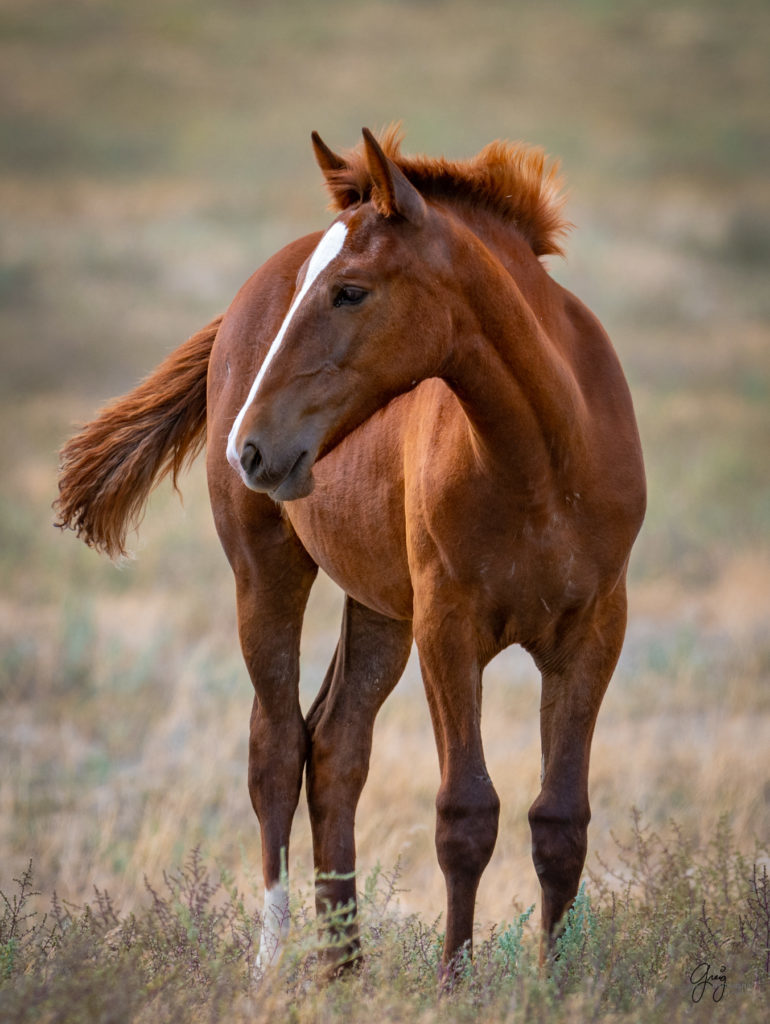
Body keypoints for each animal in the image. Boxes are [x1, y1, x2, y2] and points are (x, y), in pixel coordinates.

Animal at [55, 123, 643, 978]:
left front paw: (555, 985)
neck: (542, 464)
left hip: (378, 607)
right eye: (315, 286)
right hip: (268, 573)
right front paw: (454, 984)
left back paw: (344, 966)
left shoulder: (593, 632)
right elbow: (465, 813)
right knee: (275, 749)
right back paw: (276, 964)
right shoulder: (449, 629)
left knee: (336, 746)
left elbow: (560, 820)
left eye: (351, 291)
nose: (251, 447)